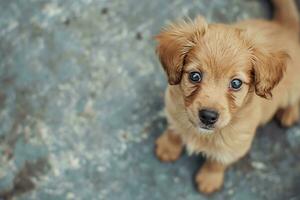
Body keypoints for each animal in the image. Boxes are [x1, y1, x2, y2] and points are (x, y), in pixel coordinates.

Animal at [155, 0, 300, 195]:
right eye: (195, 76)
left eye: (236, 83)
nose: (208, 116)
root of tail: (285, 27)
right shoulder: (173, 108)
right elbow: (174, 131)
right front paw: (167, 147)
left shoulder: (236, 144)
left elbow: (217, 162)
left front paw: (209, 179)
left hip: (291, 91)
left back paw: (289, 113)